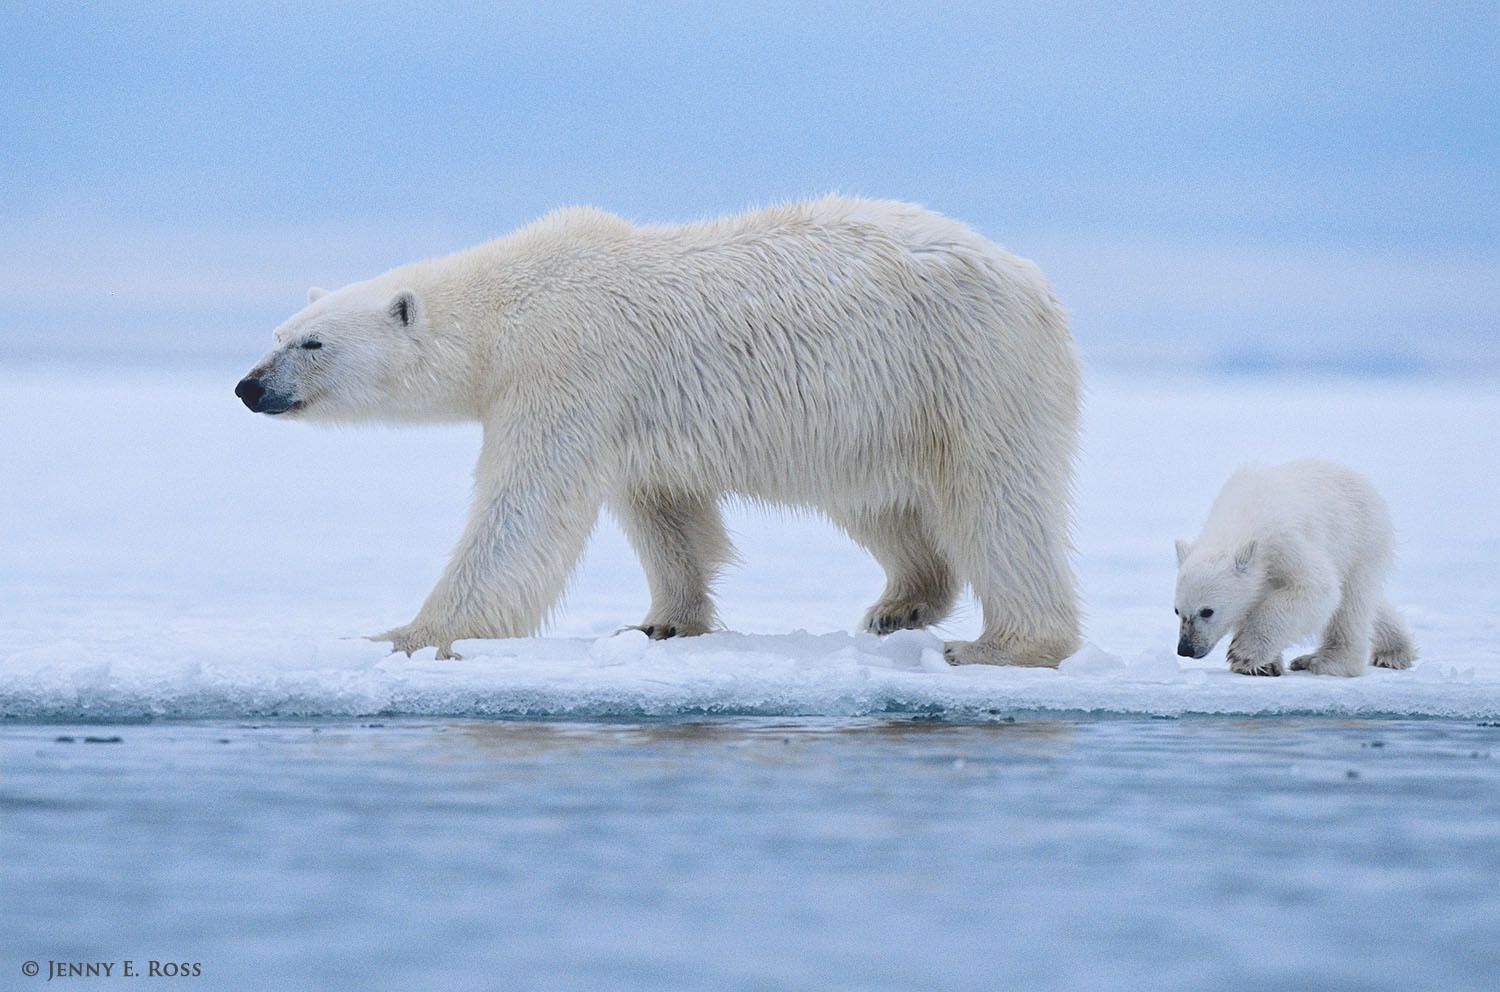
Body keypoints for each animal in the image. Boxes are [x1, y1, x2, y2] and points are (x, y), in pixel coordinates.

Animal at [235, 196, 1082, 665]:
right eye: (276, 333)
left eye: (313, 344)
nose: (249, 388)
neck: (510, 305)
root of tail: (1035, 280)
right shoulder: (626, 411)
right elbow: (664, 511)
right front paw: (663, 623)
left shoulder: (568, 369)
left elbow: (522, 514)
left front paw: (405, 635)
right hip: (877, 411)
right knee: (881, 502)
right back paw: (901, 605)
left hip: (965, 368)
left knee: (998, 502)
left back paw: (1002, 645)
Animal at [1173, 459, 1416, 677]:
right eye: (1177, 610)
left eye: (1207, 611)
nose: (1185, 649)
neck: (1240, 518)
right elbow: (1249, 602)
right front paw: (1266, 666)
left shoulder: (1285, 542)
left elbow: (1317, 587)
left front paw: (1245, 652)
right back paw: (1394, 652)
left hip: (1360, 541)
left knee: (1350, 604)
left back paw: (1325, 660)